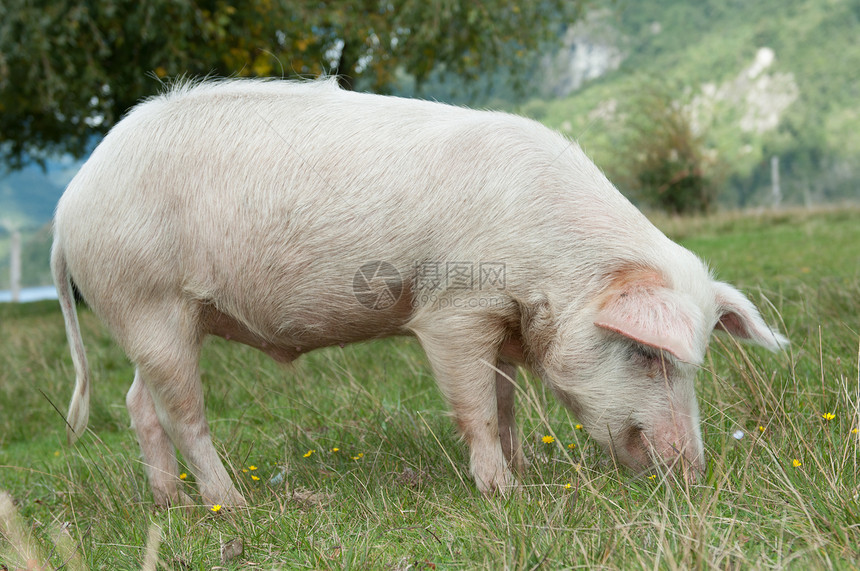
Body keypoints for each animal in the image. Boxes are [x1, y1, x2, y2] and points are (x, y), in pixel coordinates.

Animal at [48, 77, 788, 510]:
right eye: (646, 353)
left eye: (694, 362)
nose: (693, 471)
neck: (551, 264)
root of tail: (69, 205)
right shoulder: (453, 311)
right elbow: (476, 406)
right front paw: (503, 492)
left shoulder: (502, 323)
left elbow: (506, 400)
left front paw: (526, 473)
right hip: (147, 301)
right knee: (184, 413)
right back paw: (232, 505)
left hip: (157, 319)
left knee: (138, 402)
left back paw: (170, 502)